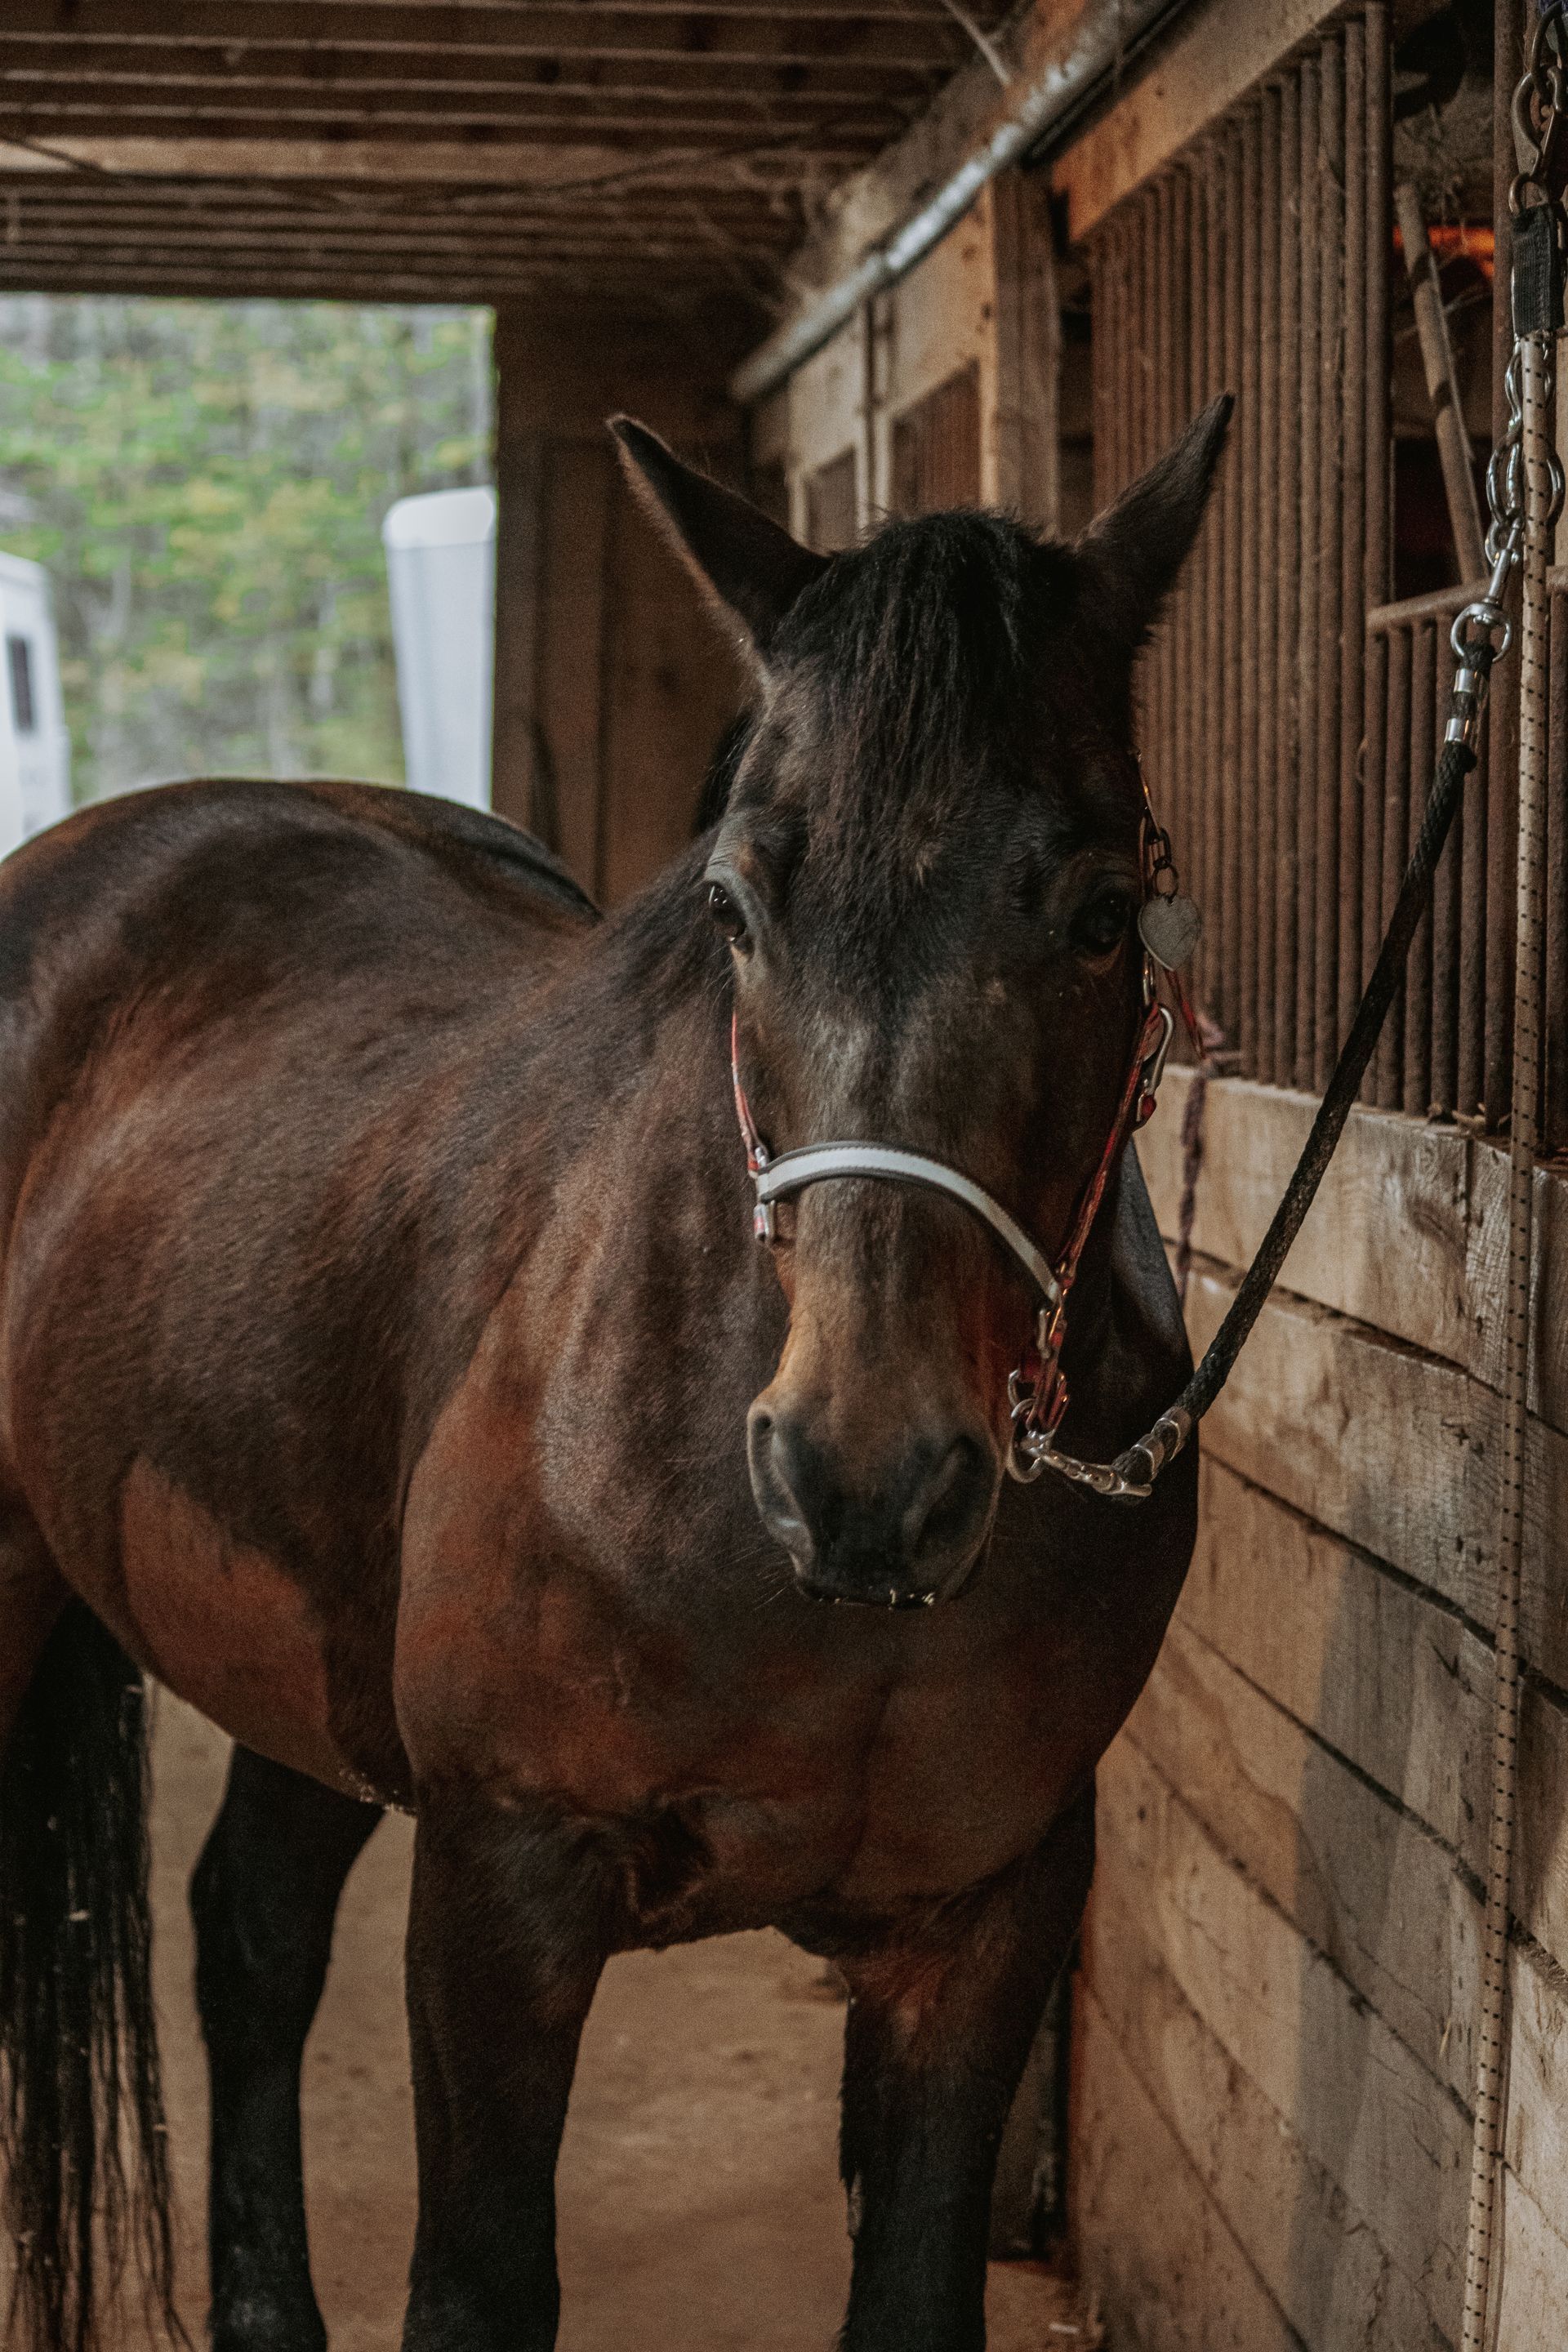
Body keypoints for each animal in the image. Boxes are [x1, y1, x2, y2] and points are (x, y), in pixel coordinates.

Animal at [0, 392, 1228, 2352]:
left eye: (1105, 917)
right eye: (735, 905)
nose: (862, 1477)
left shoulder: (983, 1922)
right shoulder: (502, 1890)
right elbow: (481, 2288)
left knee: (250, 1934)